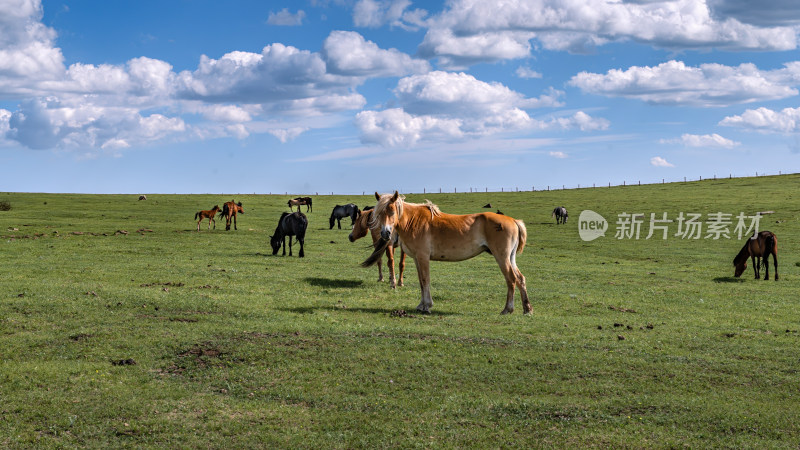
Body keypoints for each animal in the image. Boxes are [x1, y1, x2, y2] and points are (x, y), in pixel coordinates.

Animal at [364, 192, 532, 314]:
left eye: (392, 211)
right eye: (379, 213)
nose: (385, 233)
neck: (414, 221)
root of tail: (513, 220)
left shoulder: (423, 257)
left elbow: (425, 280)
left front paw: (427, 306)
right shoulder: (417, 259)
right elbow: (421, 282)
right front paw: (421, 305)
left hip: (502, 258)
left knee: (511, 280)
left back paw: (508, 309)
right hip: (510, 258)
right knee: (520, 278)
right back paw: (527, 309)